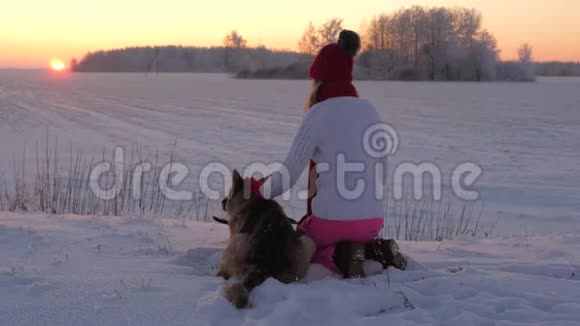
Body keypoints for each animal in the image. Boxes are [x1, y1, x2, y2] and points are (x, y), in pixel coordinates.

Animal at [214, 171, 312, 308]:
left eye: (229, 193)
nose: (222, 201)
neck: (253, 200)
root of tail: (263, 265)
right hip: (307, 242)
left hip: (237, 241)